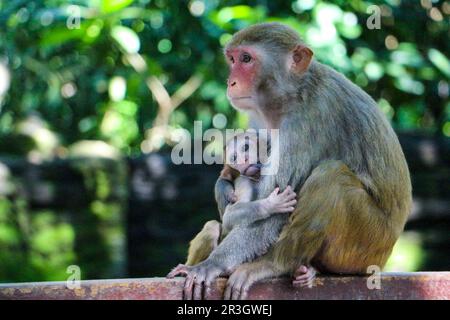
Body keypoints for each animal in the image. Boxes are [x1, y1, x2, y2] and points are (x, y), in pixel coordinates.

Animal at [169, 132, 316, 288]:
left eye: (245, 147)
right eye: (234, 157)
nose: (243, 159)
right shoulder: (243, 179)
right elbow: (229, 216)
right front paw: (270, 205)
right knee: (213, 227)